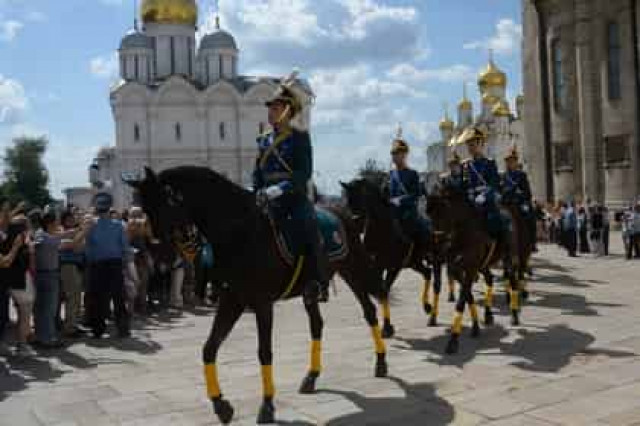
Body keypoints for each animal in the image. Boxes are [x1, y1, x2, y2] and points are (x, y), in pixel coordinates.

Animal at [129, 167, 388, 426]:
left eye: (163, 205)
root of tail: (339, 211)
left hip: (352, 268)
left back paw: (381, 362)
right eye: (144, 209)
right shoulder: (232, 300)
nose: (161, 258)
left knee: (370, 309)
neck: (239, 232)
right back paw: (312, 377)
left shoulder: (262, 303)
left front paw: (267, 405)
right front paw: (221, 405)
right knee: (317, 324)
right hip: (312, 290)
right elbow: (209, 348)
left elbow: (264, 352)